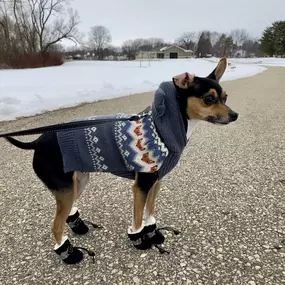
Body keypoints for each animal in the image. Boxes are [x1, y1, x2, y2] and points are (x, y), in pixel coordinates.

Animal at [5, 57, 239, 264]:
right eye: (209, 99)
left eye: (226, 97)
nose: (235, 115)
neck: (163, 128)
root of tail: (37, 141)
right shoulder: (141, 186)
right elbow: (137, 217)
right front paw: (139, 240)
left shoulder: (155, 181)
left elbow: (149, 212)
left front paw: (152, 232)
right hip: (65, 189)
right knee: (55, 225)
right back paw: (69, 254)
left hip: (76, 183)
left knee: (66, 214)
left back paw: (78, 228)